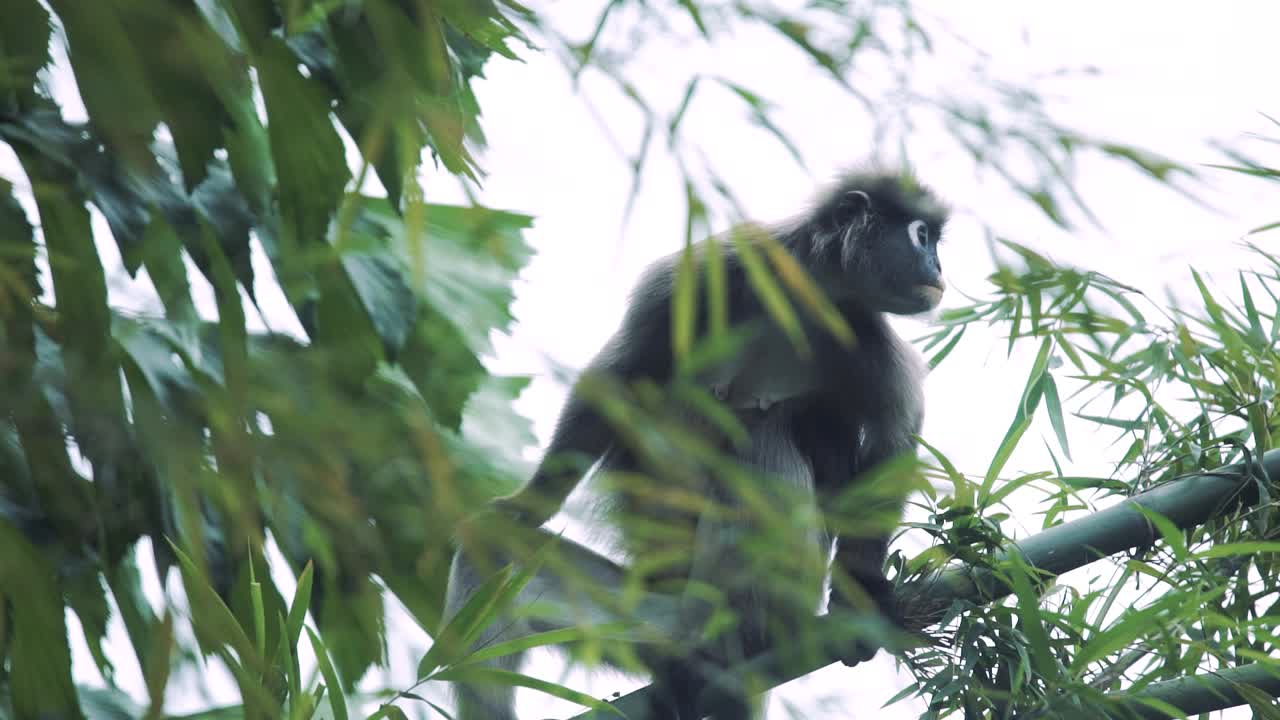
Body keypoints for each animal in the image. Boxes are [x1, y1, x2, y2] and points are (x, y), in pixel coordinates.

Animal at [444, 170, 947, 719]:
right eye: (923, 236)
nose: (939, 266)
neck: (796, 297)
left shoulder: (867, 336)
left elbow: (892, 440)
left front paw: (862, 593)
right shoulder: (694, 278)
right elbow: (615, 381)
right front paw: (528, 503)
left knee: (763, 432)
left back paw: (738, 641)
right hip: (642, 622)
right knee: (491, 550)